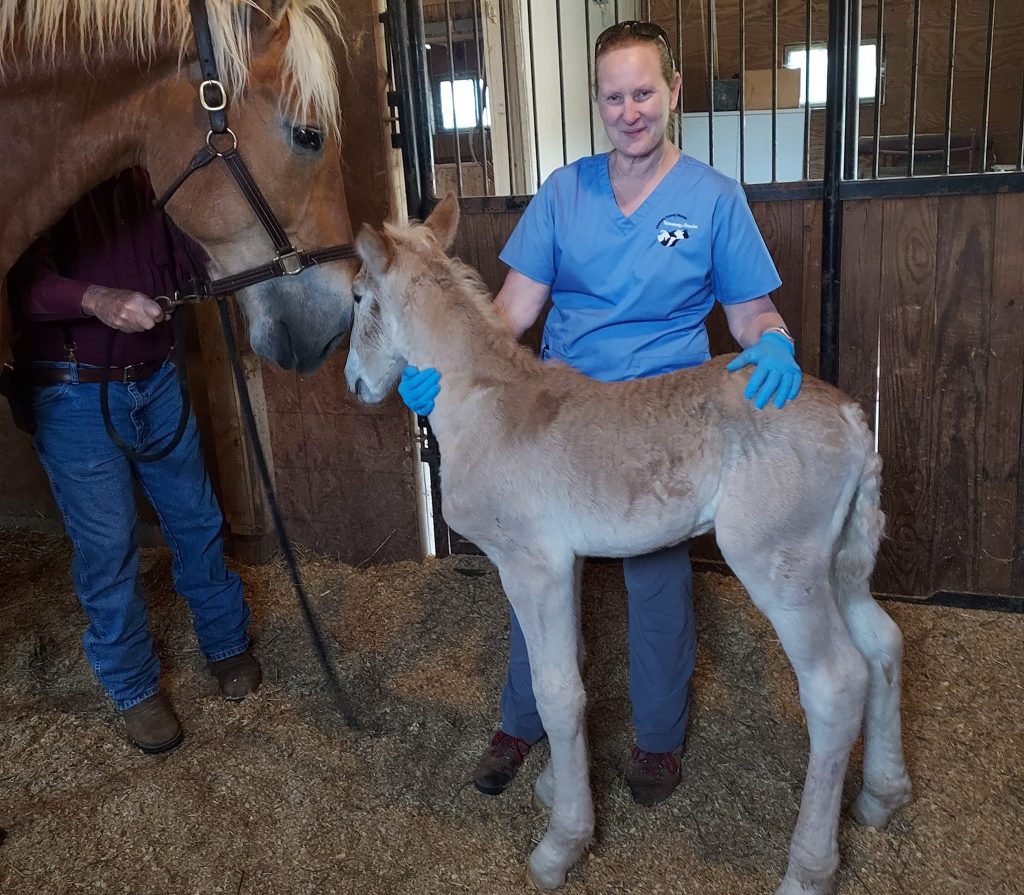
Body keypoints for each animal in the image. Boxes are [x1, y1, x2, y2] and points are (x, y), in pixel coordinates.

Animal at [343, 194, 913, 895]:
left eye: (357, 298)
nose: (356, 383)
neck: (486, 405)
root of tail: (855, 419)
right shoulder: (568, 563)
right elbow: (573, 666)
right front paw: (555, 785)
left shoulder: (530, 565)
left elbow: (558, 691)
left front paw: (561, 845)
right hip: (840, 564)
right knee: (884, 645)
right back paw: (882, 797)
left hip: (784, 567)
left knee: (836, 683)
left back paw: (807, 870)